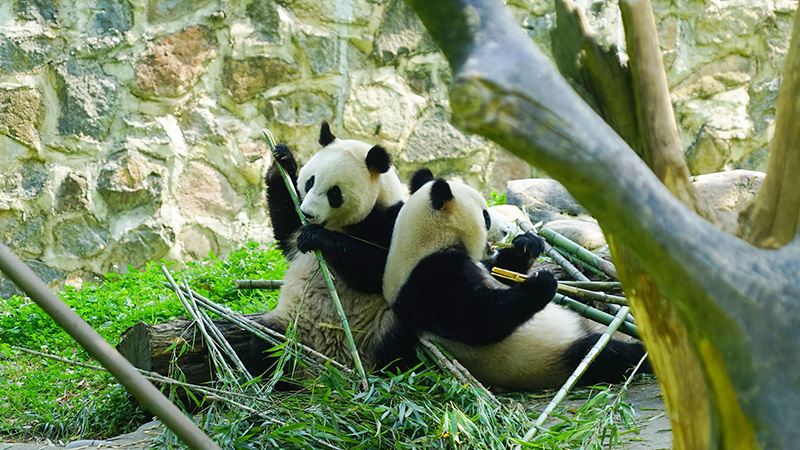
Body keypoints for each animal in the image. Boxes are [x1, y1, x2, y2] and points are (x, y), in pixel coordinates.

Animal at [250, 121, 417, 378]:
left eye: (334, 193)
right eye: (310, 182)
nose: (308, 213)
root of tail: (325, 369)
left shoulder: (391, 222)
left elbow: (375, 271)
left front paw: (315, 237)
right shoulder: (294, 227)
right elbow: (287, 227)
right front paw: (283, 161)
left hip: (376, 333)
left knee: (397, 344)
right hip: (288, 326)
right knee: (266, 341)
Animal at [383, 174, 649, 391]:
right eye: (486, 216)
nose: (504, 232)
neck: (423, 242)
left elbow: (502, 271)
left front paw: (527, 244)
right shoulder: (430, 280)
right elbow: (480, 319)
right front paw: (542, 284)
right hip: (556, 357)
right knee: (603, 355)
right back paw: (641, 355)